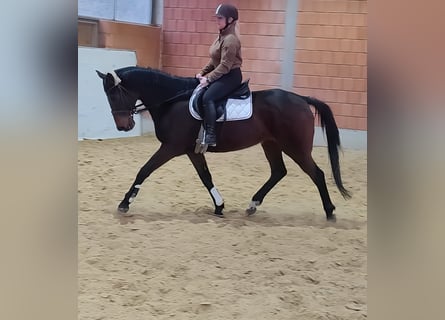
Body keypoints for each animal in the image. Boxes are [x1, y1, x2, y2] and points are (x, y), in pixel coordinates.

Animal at [97, 66, 350, 221]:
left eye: (114, 95)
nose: (123, 127)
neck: (173, 101)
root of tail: (301, 99)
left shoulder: (170, 148)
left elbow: (144, 170)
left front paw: (125, 203)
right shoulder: (192, 151)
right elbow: (206, 177)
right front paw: (219, 206)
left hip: (295, 148)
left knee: (316, 174)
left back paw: (329, 212)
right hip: (271, 144)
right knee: (279, 171)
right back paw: (253, 204)